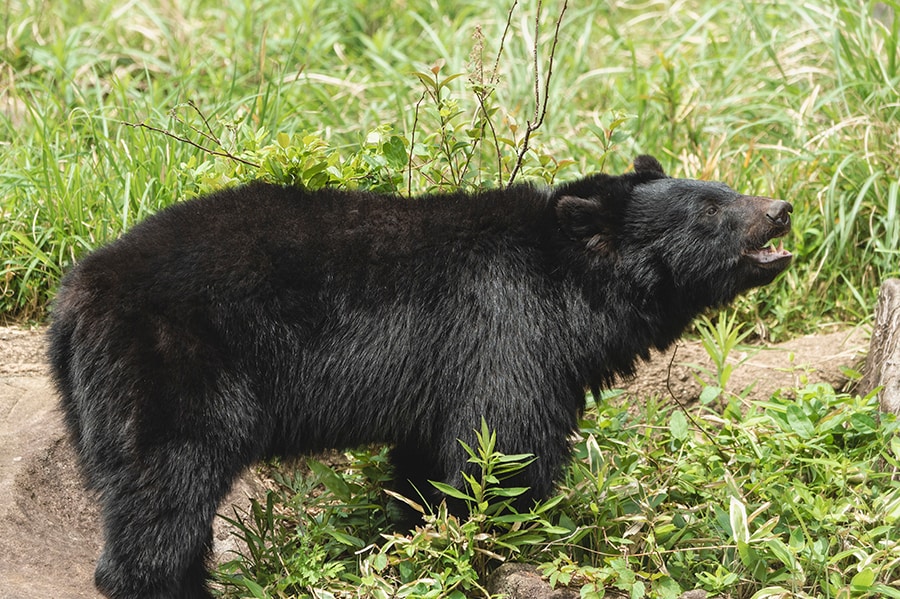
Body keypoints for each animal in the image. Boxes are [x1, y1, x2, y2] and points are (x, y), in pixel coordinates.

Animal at [51, 156, 796, 599]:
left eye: (727, 188)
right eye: (711, 213)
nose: (781, 209)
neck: (576, 291)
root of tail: (77, 295)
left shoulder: (443, 382)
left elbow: (427, 468)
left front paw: (414, 538)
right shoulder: (507, 334)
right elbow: (505, 448)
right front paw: (520, 544)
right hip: (172, 369)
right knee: (165, 492)